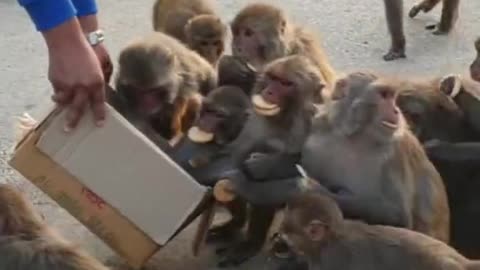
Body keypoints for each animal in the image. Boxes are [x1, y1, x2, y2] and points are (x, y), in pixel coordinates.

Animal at [298, 71, 452, 243]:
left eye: (392, 96)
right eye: (383, 95)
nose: (396, 111)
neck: (356, 138)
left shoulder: (394, 152)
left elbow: (398, 216)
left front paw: (317, 191)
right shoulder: (314, 145)